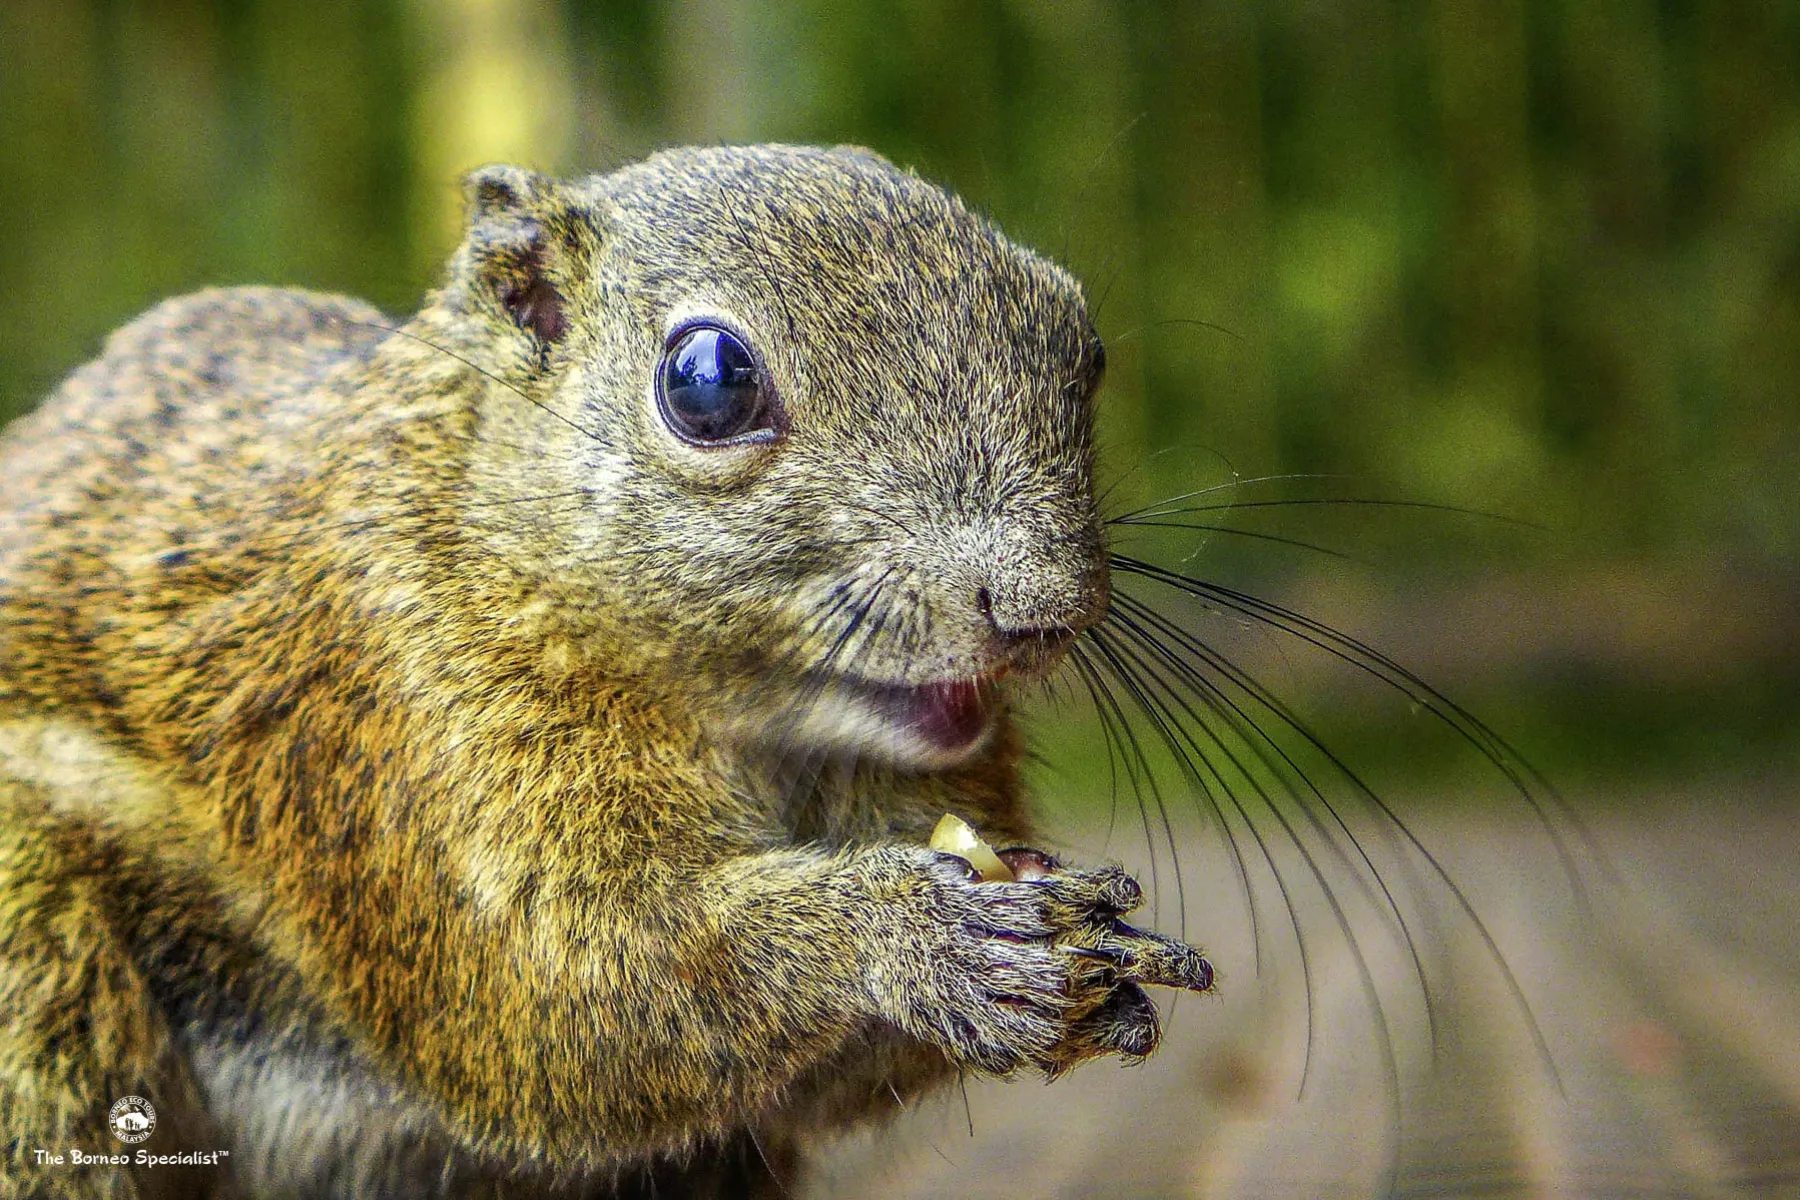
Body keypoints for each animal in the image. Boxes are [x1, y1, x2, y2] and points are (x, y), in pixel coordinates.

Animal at [0, 144, 1214, 1198]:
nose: (1043, 610)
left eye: (1085, 347)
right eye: (709, 384)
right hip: (39, 976)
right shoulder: (386, 723)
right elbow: (561, 1000)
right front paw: (919, 936)